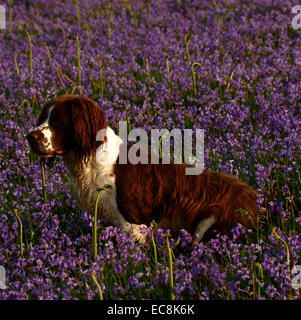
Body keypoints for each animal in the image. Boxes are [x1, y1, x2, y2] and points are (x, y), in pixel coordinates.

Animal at [27, 95, 258, 242]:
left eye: (57, 122)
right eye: (42, 118)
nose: (30, 137)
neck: (94, 159)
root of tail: (256, 199)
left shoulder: (133, 224)